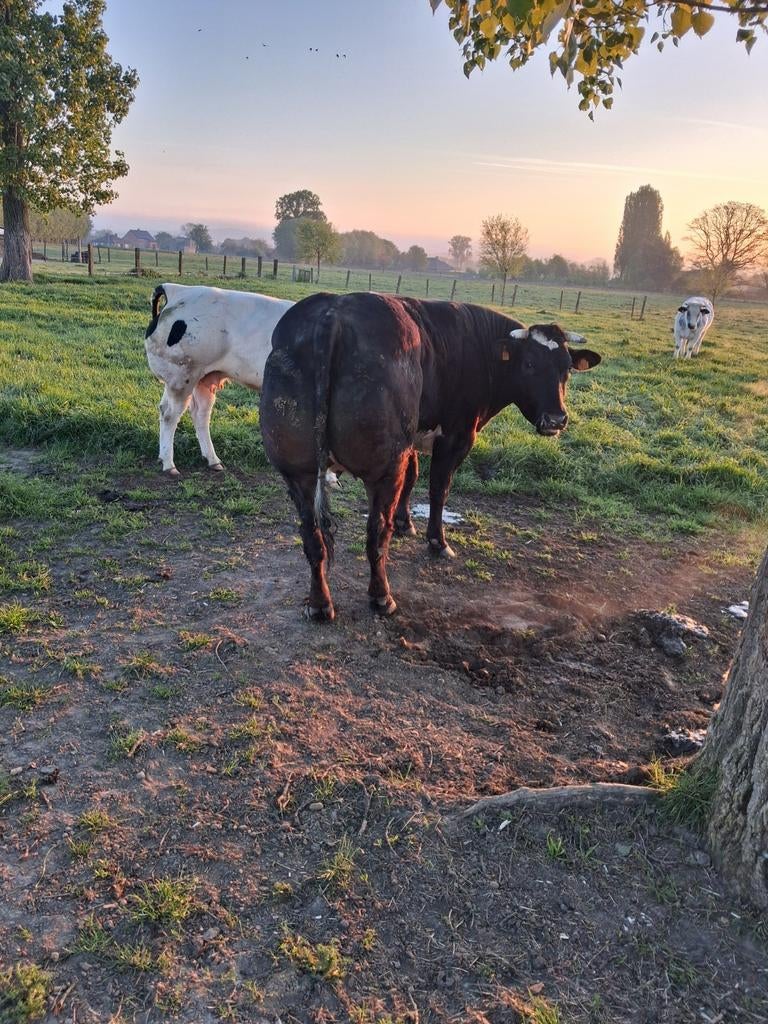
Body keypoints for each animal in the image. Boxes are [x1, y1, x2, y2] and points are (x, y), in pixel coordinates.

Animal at [144, 283, 293, 476]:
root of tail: (179, 289)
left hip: (201, 377)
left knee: (197, 413)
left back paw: (211, 460)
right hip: (182, 376)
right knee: (170, 414)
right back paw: (169, 464)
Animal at [260, 292, 601, 622]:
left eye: (567, 368)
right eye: (529, 364)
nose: (557, 419)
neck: (480, 346)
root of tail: (332, 314)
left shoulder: (411, 442)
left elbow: (413, 477)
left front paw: (405, 523)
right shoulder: (456, 437)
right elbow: (439, 489)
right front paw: (437, 541)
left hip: (298, 473)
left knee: (312, 537)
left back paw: (319, 603)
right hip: (384, 469)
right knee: (375, 533)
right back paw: (382, 597)